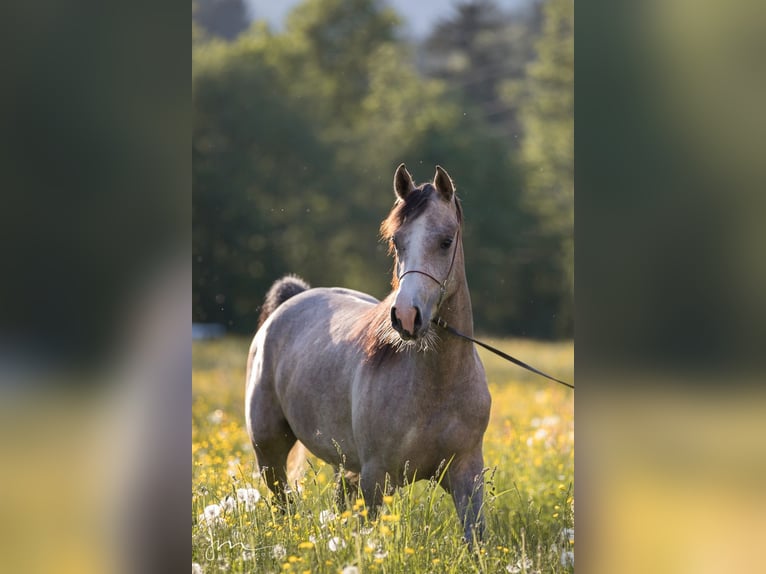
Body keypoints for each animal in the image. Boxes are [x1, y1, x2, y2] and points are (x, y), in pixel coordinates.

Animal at [249, 164, 496, 548]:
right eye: (397, 241)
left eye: (445, 241)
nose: (407, 317)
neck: (436, 385)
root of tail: (292, 299)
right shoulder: (376, 479)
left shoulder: (466, 474)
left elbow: (476, 540)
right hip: (269, 452)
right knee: (282, 505)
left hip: (343, 465)